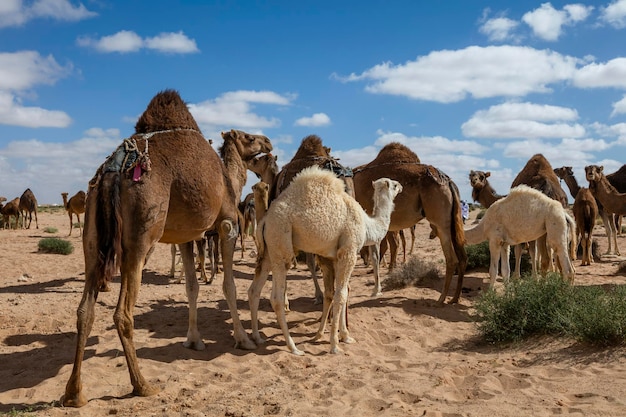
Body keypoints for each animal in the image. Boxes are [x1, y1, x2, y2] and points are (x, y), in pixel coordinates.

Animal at [61, 88, 272, 406]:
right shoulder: (227, 225)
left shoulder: (186, 236)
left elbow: (191, 287)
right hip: (140, 237)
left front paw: (193, 340)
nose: (269, 141)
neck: (230, 180)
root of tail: (113, 171)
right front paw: (243, 339)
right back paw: (143, 385)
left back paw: (74, 393)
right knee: (123, 313)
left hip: (92, 235)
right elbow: (229, 286)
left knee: (85, 309)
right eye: (248, 137)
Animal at [247, 166, 400, 354]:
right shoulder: (348, 251)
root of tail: (265, 221)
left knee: (254, 290)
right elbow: (341, 294)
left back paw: (257, 338)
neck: (367, 224)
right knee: (276, 298)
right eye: (394, 184)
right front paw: (334, 345)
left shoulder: (332, 256)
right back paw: (293, 347)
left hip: (268, 251)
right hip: (280, 243)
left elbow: (337, 292)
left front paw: (344, 336)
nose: (401, 186)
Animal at [352, 141, 464, 304]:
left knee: (451, 259)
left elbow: (376, 254)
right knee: (462, 256)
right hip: (452, 221)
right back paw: (454, 298)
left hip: (440, 221)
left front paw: (375, 289)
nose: (400, 185)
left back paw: (441, 299)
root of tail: (449, 181)